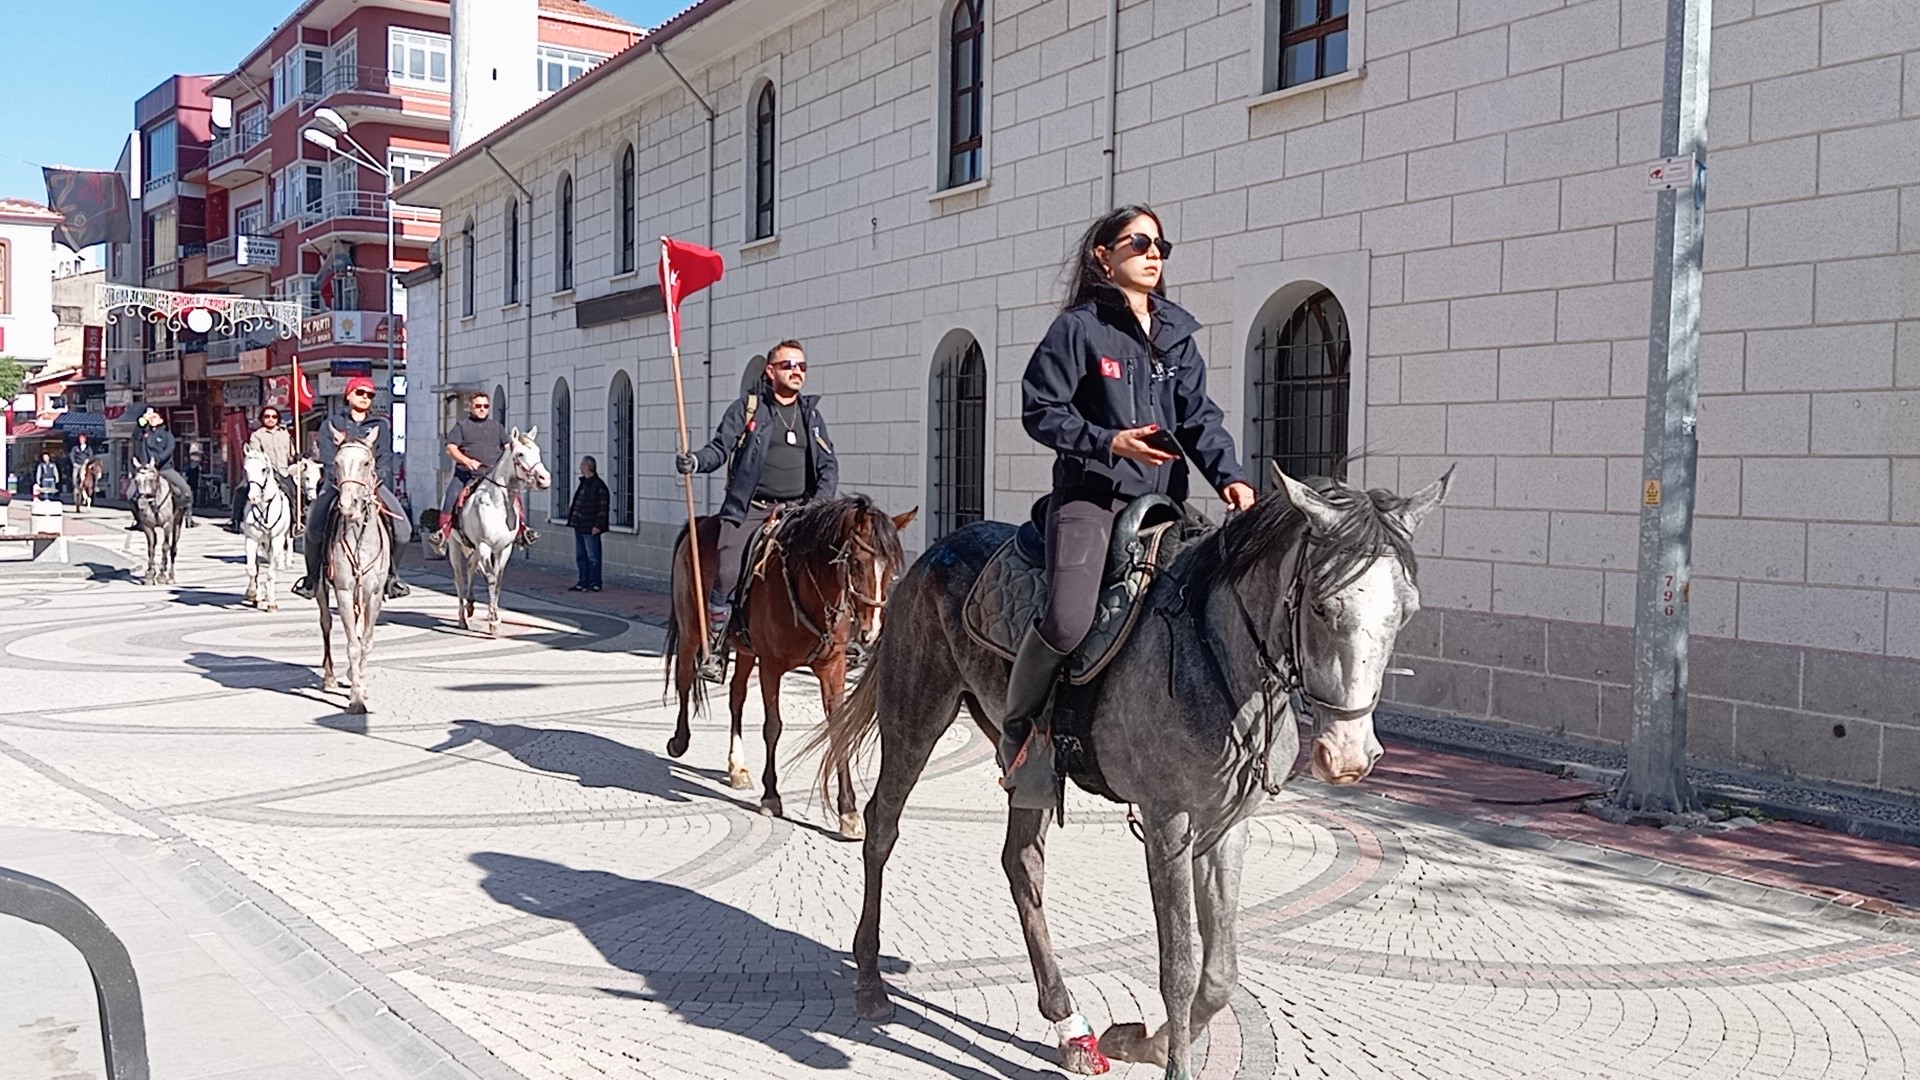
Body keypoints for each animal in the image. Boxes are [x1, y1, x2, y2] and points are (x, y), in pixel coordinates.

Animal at [241, 445, 293, 611]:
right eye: (246, 469)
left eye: (263, 469)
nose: (253, 498)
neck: (264, 508)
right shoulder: (251, 539)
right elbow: (252, 569)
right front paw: (253, 594)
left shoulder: (277, 540)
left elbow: (271, 571)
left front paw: (271, 602)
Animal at [314, 432, 389, 711]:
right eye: (336, 462)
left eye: (366, 463)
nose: (348, 505)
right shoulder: (344, 592)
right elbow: (353, 645)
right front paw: (356, 697)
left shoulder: (374, 595)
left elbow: (365, 642)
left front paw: (361, 685)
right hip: (321, 587)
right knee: (326, 622)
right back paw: (330, 676)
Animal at [441, 424, 549, 634]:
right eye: (520, 454)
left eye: (538, 451)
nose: (544, 479)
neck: (498, 505)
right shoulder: (485, 546)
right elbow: (490, 579)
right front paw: (493, 620)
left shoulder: (503, 548)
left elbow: (497, 581)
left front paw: (494, 617)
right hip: (456, 546)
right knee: (459, 578)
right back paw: (462, 618)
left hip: (473, 548)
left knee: (471, 567)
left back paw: (471, 605)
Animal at [668, 495, 913, 834]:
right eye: (856, 562)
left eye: (890, 568)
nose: (871, 631)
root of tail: (701, 520)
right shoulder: (771, 666)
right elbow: (773, 727)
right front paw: (771, 796)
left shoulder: (832, 668)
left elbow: (839, 729)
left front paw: (848, 811)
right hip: (692, 630)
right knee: (684, 678)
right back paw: (679, 741)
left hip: (746, 651)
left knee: (736, 697)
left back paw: (737, 767)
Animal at [814, 466, 1451, 1076]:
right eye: (1321, 605)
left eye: (1407, 611)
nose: (1348, 757)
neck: (1216, 654)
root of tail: (935, 552)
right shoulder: (1167, 823)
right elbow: (1179, 966)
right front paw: (1169, 1061)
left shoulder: (1227, 826)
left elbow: (1220, 972)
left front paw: (1138, 1041)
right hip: (916, 718)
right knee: (883, 827)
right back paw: (870, 981)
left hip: (1028, 761)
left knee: (1022, 863)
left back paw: (1069, 1024)